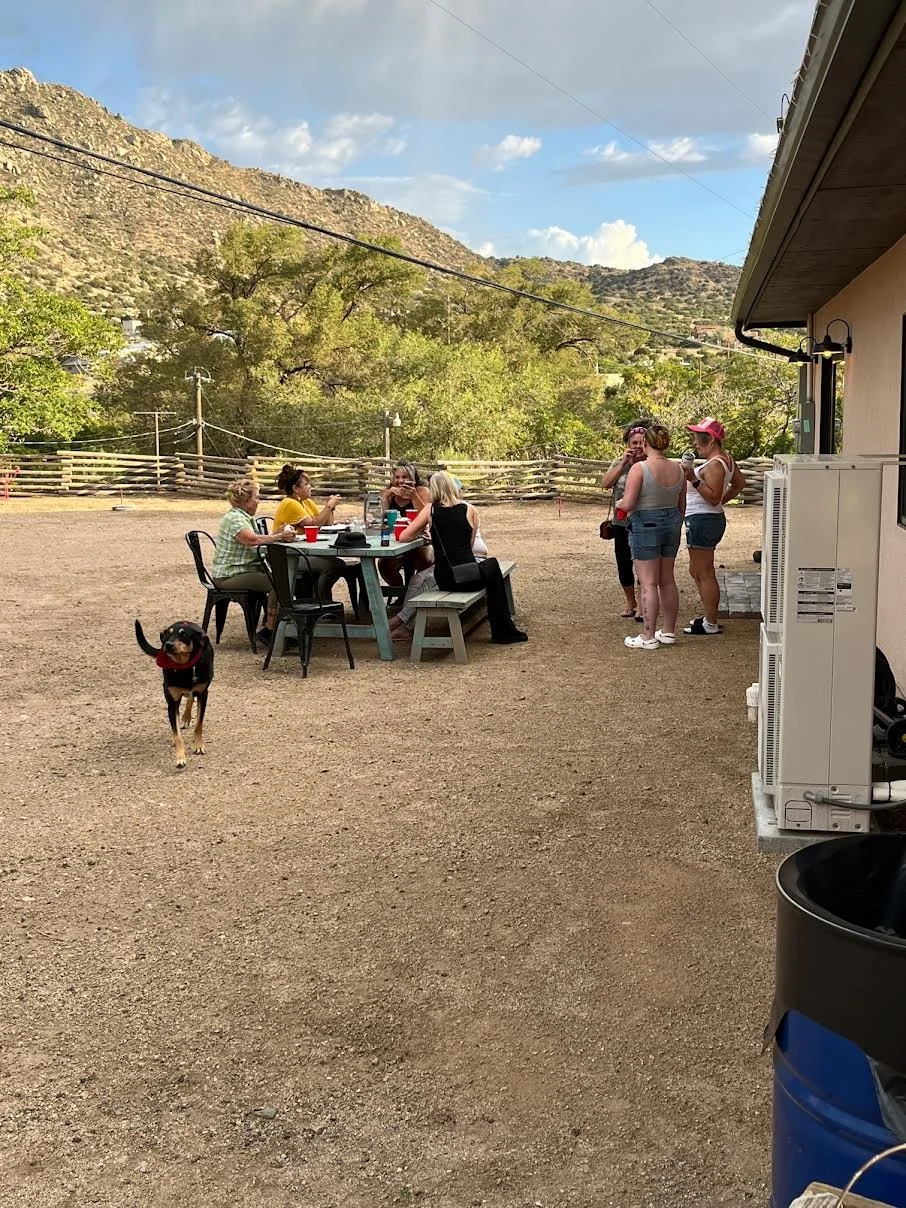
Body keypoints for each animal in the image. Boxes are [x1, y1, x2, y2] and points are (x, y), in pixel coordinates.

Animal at [135, 619, 214, 769]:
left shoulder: (203, 694)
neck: (185, 667)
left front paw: (198, 745)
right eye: (168, 634)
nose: (168, 644)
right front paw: (180, 758)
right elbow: (177, 734)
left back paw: (186, 717)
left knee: (190, 698)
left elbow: (199, 724)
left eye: (183, 635)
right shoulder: (172, 702)